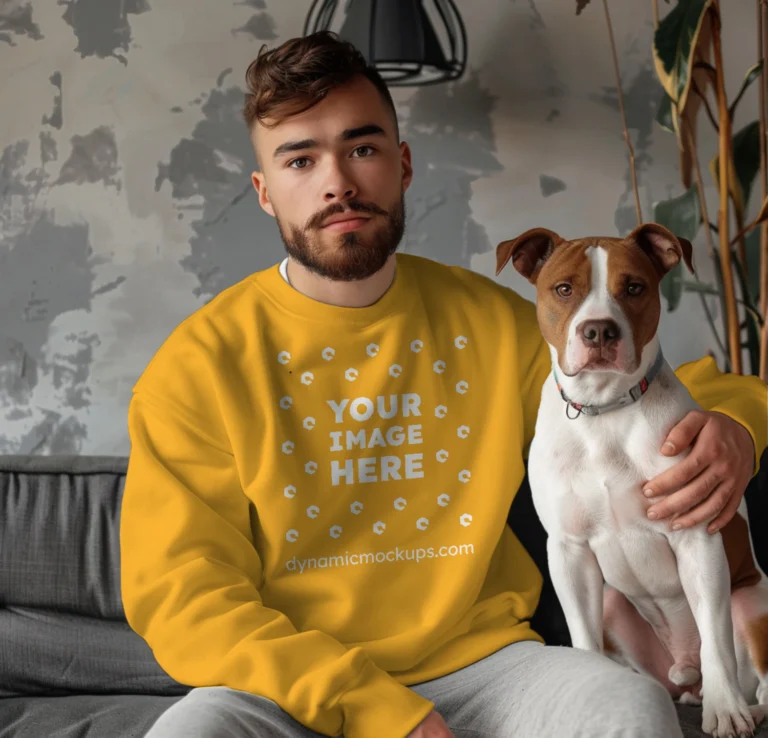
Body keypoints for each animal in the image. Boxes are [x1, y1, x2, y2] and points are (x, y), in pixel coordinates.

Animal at [498, 221, 768, 732]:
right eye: (564, 289)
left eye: (634, 288)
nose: (599, 329)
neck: (604, 410)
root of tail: (684, 671)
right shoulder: (569, 550)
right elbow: (583, 639)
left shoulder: (696, 537)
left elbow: (716, 638)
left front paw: (725, 712)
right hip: (613, 604)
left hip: (752, 604)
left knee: (752, 674)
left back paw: (742, 705)